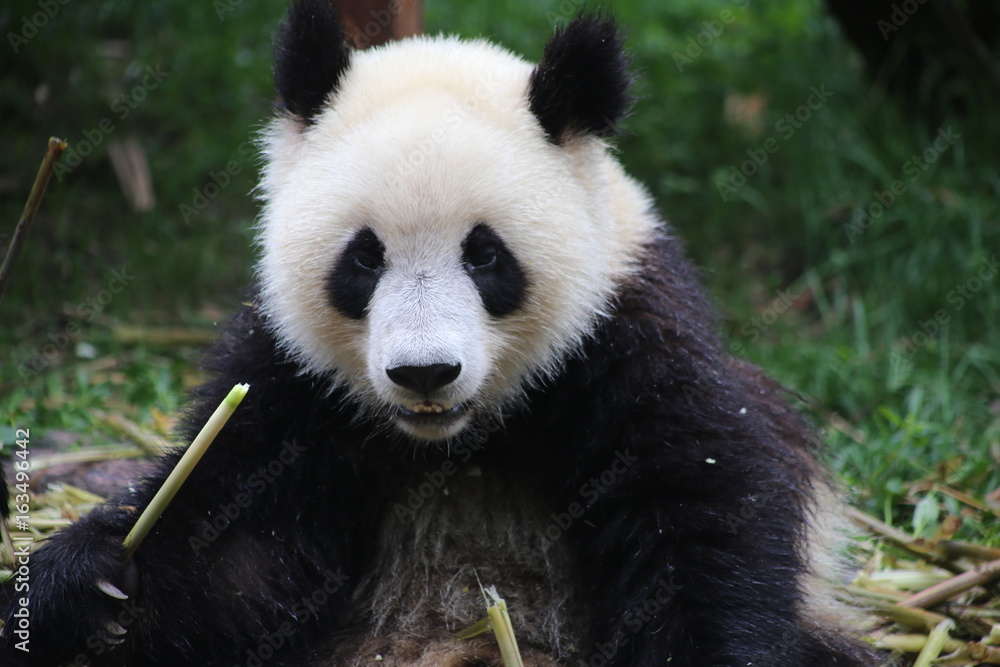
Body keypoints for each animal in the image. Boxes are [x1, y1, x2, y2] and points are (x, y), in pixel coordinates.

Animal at [3, 1, 880, 665]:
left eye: (485, 254)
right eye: (364, 257)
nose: (424, 373)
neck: (459, 442)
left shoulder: (629, 342)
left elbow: (700, 517)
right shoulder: (295, 388)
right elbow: (229, 545)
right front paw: (90, 585)